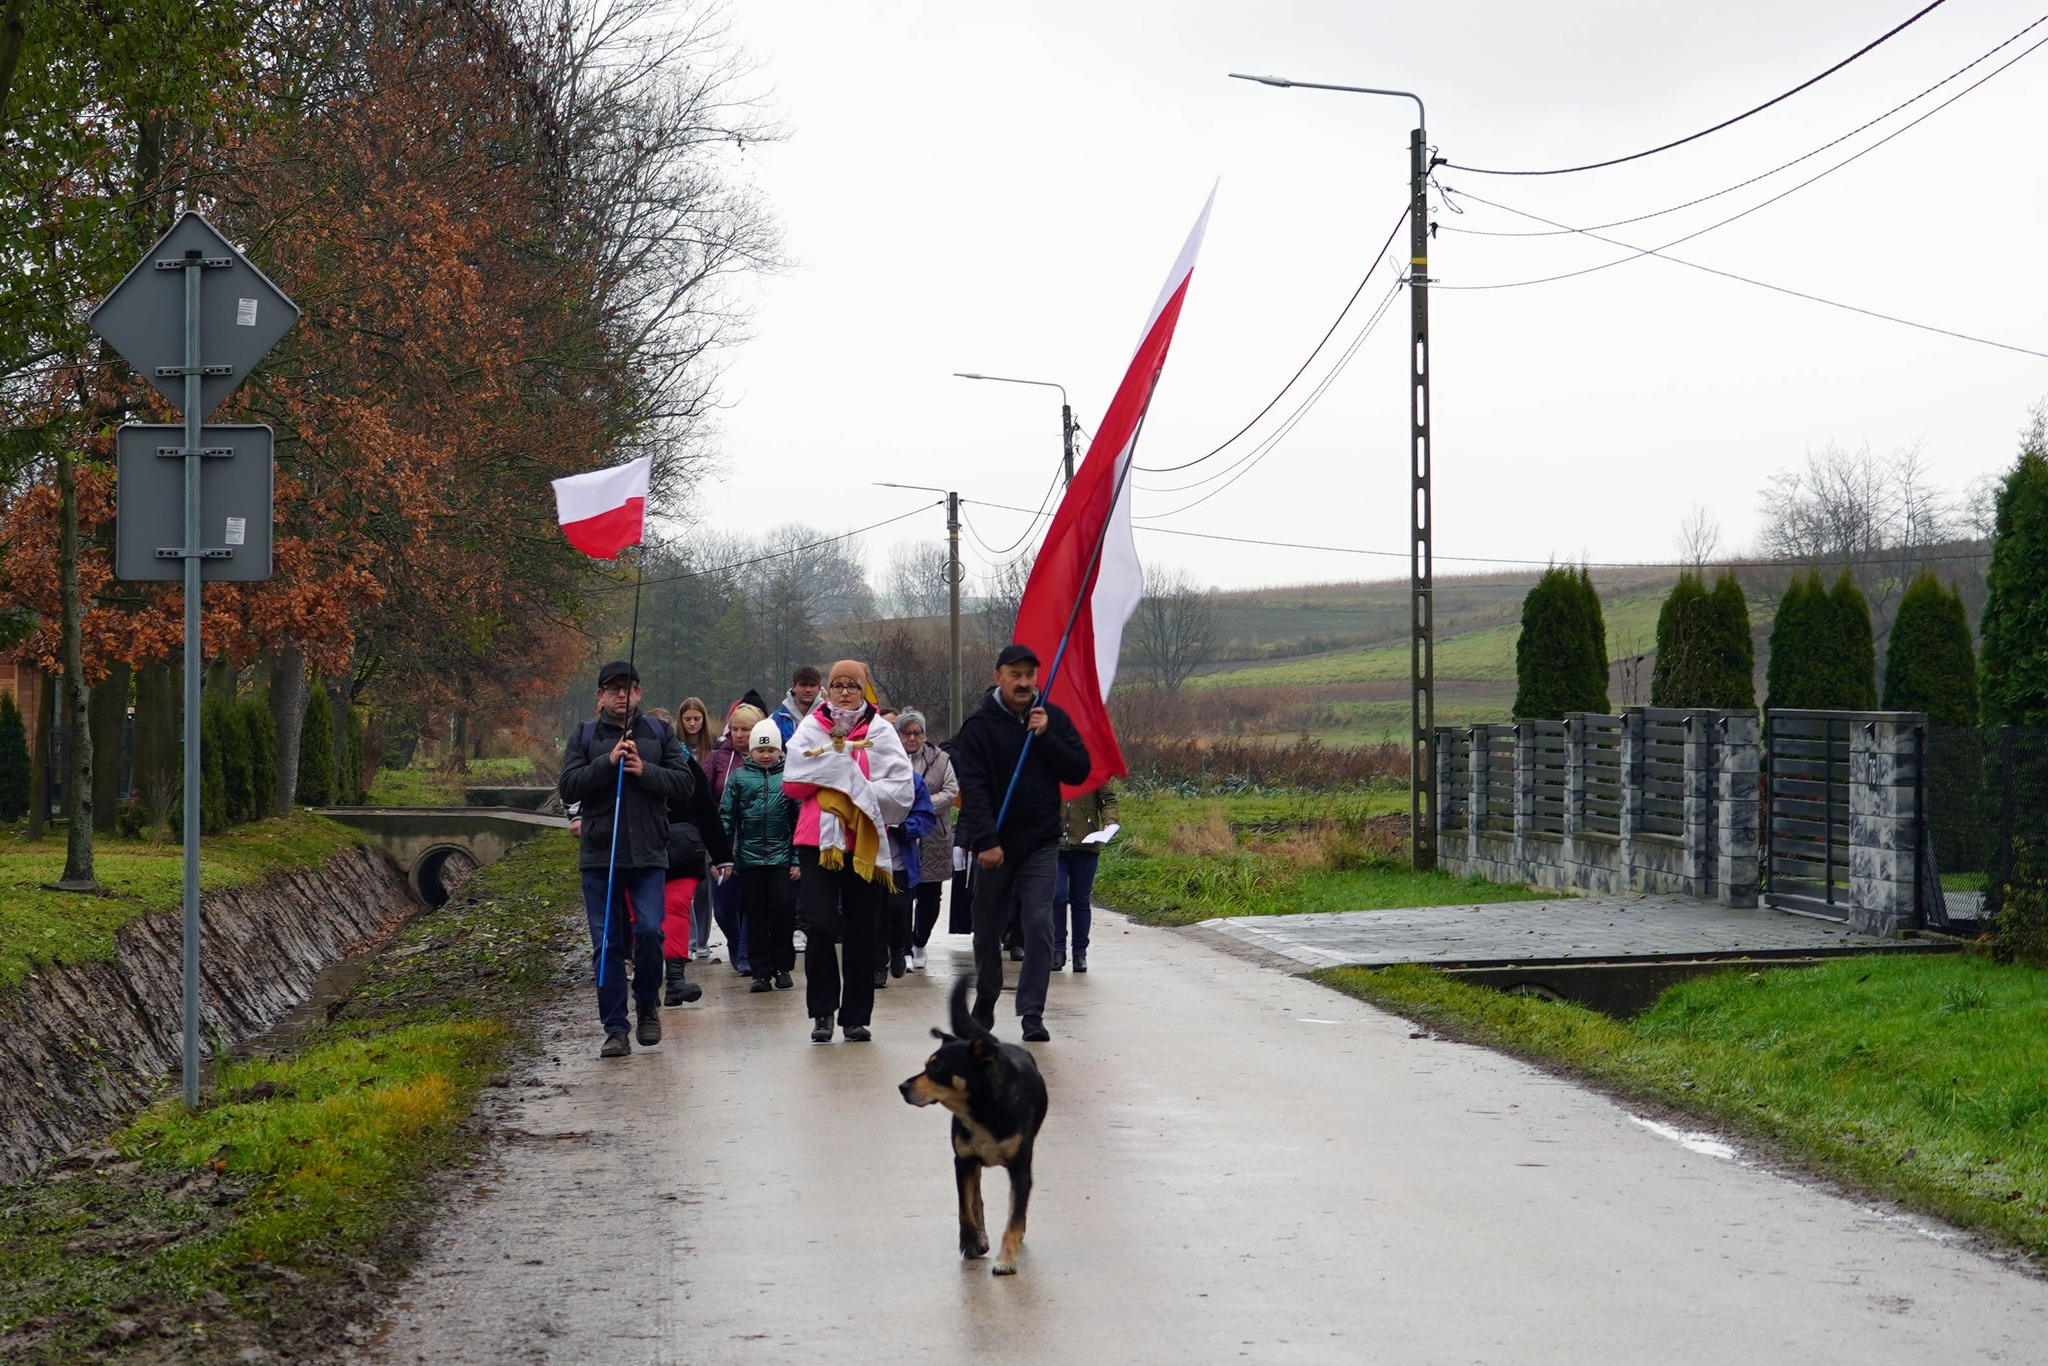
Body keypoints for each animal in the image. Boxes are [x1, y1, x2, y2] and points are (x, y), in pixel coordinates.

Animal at [898, 978, 1049, 1275]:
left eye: (937, 1068)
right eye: (926, 1065)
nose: (903, 1086)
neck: (981, 1109)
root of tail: (997, 1044)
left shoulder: (1020, 1169)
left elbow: (1014, 1217)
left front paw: (1006, 1259)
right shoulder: (964, 1160)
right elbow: (965, 1208)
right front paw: (970, 1242)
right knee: (976, 1198)